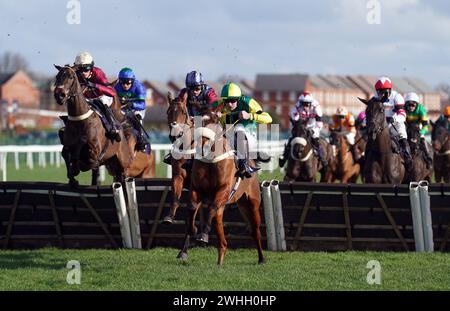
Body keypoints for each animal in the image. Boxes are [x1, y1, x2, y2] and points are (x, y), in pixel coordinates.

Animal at [178, 111, 266, 264]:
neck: (211, 162)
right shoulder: (197, 189)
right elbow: (192, 207)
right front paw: (193, 231)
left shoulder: (223, 190)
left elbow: (211, 207)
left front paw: (203, 233)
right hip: (239, 205)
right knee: (222, 236)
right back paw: (219, 259)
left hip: (252, 203)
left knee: (255, 231)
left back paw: (261, 258)